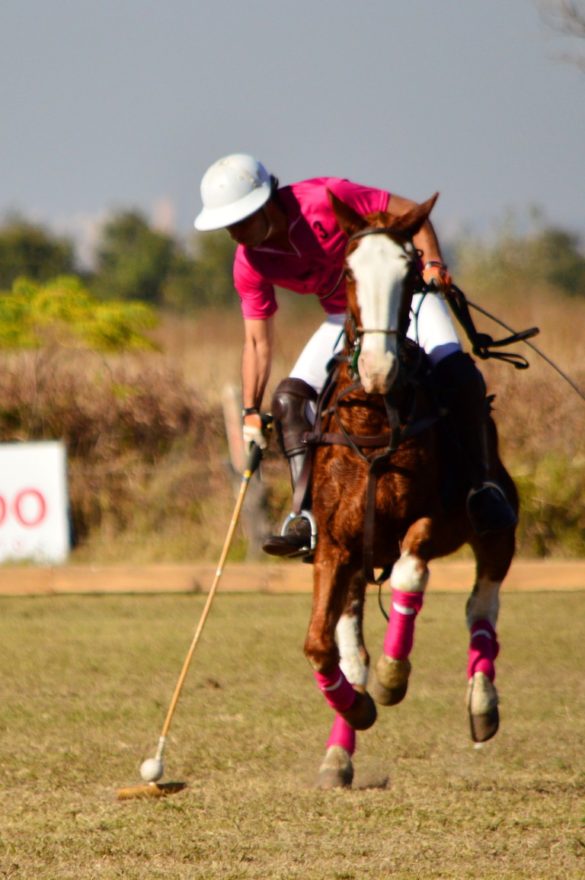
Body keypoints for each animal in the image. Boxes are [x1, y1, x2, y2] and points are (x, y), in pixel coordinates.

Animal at [306, 192, 516, 792]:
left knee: (480, 606)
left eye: (409, 274)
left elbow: (410, 574)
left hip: (498, 528)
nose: (378, 368)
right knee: (349, 636)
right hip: (357, 560)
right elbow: (320, 644)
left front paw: (393, 678)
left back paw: (482, 706)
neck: (375, 417)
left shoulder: (430, 521)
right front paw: (357, 708)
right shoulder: (334, 544)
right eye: (349, 272)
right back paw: (339, 752)